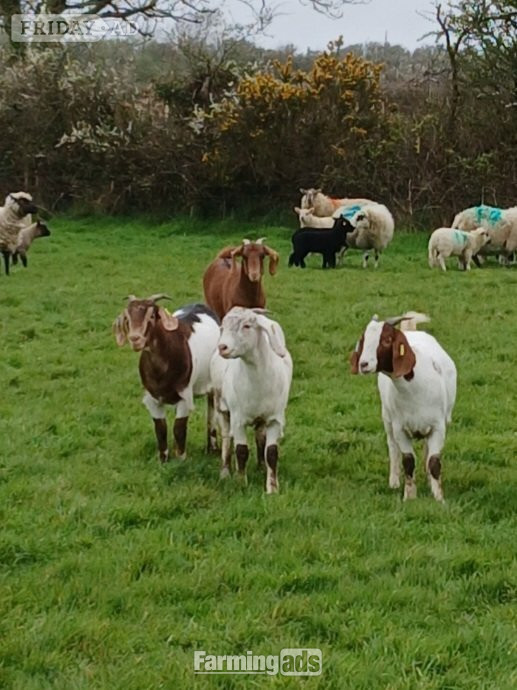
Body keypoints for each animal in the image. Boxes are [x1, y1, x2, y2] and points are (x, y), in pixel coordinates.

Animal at [113, 296, 220, 462]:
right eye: (127, 317)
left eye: (152, 315)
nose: (135, 339)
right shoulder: (152, 399)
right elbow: (160, 429)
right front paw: (163, 460)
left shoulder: (185, 396)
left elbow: (179, 428)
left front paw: (181, 458)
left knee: (212, 412)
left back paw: (213, 448)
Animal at [210, 307, 292, 493]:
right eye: (223, 328)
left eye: (247, 326)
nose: (222, 347)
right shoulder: (238, 419)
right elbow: (241, 451)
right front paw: (241, 483)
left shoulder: (275, 419)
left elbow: (271, 453)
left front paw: (272, 488)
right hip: (221, 407)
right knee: (226, 438)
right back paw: (225, 472)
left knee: (259, 436)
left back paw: (261, 467)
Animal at [350, 312, 456, 502]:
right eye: (363, 339)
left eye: (386, 340)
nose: (363, 364)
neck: (415, 388)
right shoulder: (400, 428)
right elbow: (408, 461)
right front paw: (409, 496)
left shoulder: (438, 427)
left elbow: (434, 461)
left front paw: (439, 498)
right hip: (387, 418)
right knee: (392, 448)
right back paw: (393, 482)